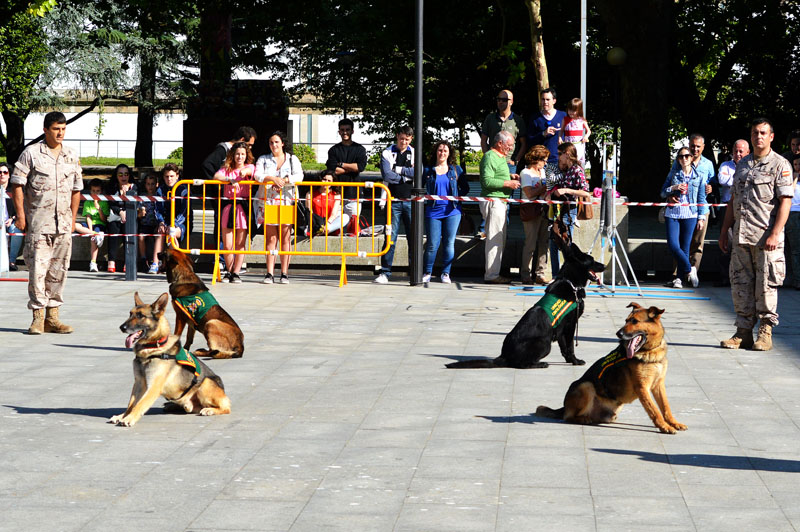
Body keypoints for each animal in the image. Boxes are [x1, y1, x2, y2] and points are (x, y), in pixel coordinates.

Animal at [446, 218, 604, 368]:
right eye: (592, 260)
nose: (603, 265)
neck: (571, 283)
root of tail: (504, 356)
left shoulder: (561, 331)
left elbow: (564, 348)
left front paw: (570, 361)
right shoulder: (570, 325)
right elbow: (570, 346)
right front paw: (576, 361)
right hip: (545, 343)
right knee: (521, 364)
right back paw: (539, 364)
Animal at [536, 304, 684, 432]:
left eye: (635, 321)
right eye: (626, 321)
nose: (618, 333)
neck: (651, 351)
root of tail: (564, 407)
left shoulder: (658, 385)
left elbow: (665, 407)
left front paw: (673, 423)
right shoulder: (642, 388)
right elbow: (654, 410)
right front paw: (664, 426)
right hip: (586, 385)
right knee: (567, 416)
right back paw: (583, 419)